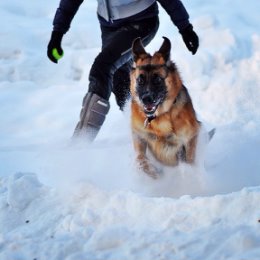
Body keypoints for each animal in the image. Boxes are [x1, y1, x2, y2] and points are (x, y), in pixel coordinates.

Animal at [130, 36, 201, 179]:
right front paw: (154, 173)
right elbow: (141, 160)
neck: (159, 117)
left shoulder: (190, 137)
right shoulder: (139, 135)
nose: (146, 99)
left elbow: (189, 161)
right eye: (140, 80)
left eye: (157, 79)